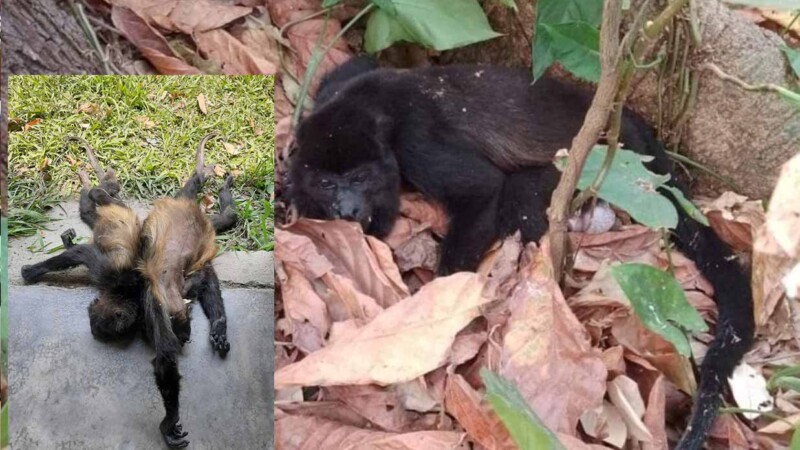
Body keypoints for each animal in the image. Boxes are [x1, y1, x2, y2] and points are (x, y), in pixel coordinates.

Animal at [287, 57, 754, 450]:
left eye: (359, 178)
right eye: (328, 183)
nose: (348, 208)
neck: (373, 110)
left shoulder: (416, 143)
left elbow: (483, 189)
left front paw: (438, 303)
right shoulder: (339, 83)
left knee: (519, 197)